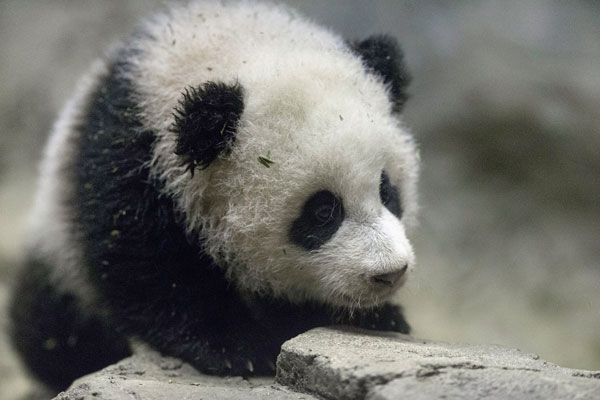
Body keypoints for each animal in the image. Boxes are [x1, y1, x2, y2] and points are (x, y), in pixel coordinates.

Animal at [11, 0, 420, 392]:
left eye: (387, 190)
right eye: (322, 212)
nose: (390, 273)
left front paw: (377, 317)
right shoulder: (128, 158)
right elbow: (145, 264)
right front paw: (237, 348)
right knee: (54, 328)